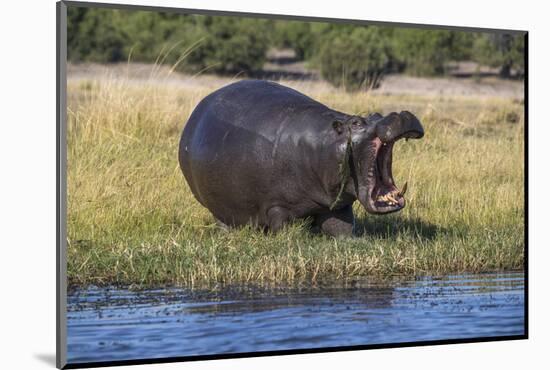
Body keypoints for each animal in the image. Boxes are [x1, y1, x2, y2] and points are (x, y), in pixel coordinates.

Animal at [179, 81, 424, 237]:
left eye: (375, 115)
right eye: (356, 122)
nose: (399, 114)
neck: (326, 144)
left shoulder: (337, 205)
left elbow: (342, 229)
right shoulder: (277, 206)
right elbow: (284, 228)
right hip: (219, 207)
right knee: (224, 220)